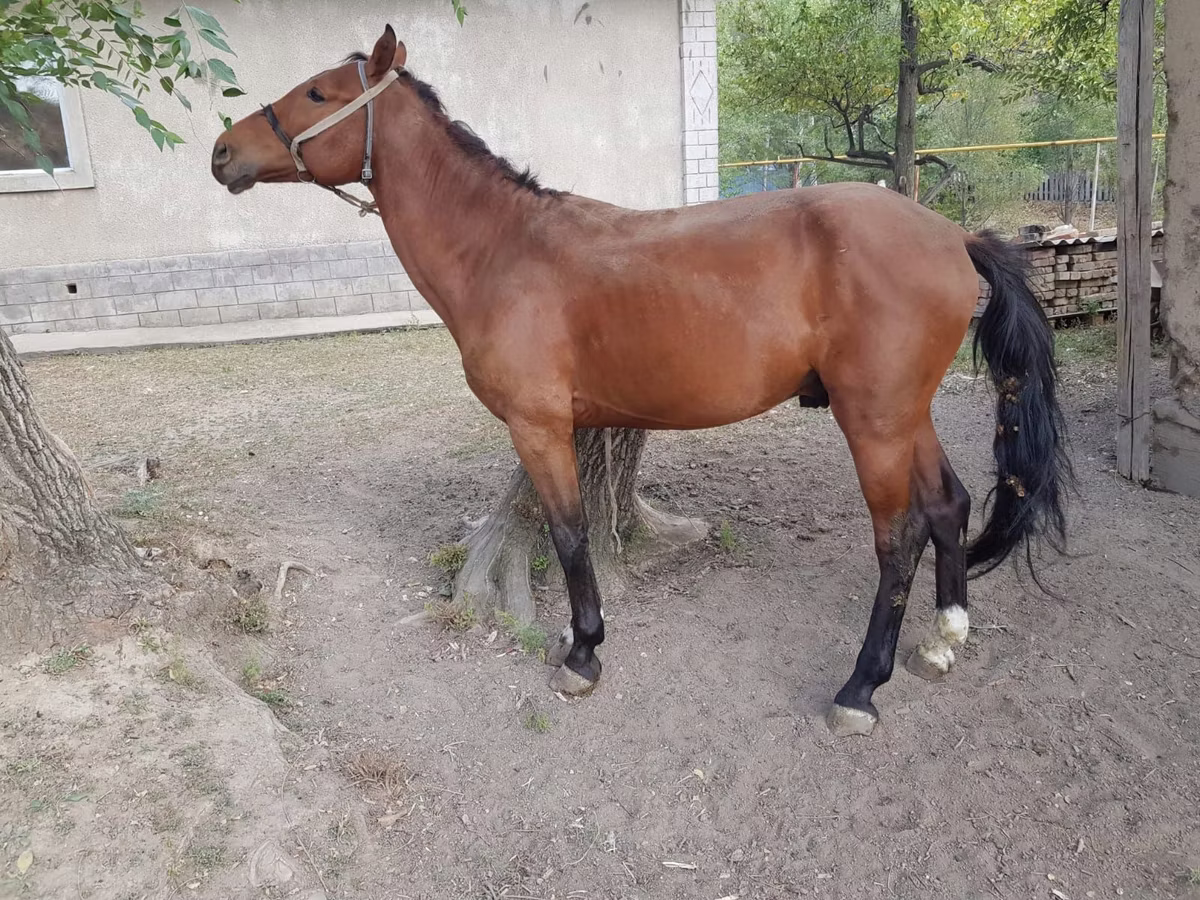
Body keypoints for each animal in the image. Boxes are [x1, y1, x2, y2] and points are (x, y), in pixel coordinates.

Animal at [210, 25, 1069, 737]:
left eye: (319, 93)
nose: (222, 152)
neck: (504, 249)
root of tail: (953, 236)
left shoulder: (540, 426)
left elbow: (568, 534)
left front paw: (583, 653)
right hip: (902, 416)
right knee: (949, 504)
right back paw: (945, 638)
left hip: (875, 422)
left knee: (899, 538)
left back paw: (861, 688)